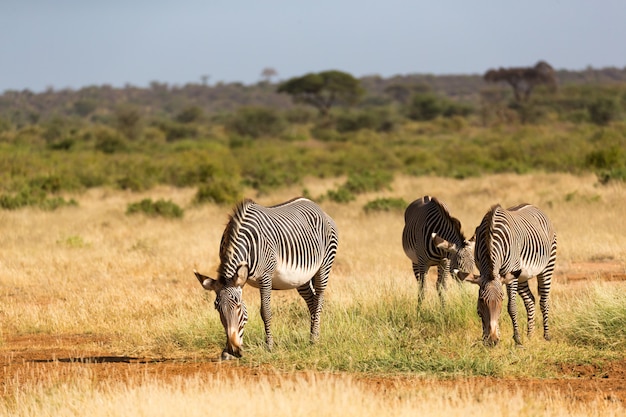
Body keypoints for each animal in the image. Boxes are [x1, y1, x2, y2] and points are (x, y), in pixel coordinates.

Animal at [194, 197, 336, 360]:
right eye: (217, 308)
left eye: (238, 306)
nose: (233, 350)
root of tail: (316, 206)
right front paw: (225, 351)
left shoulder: (265, 277)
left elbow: (265, 312)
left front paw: (269, 346)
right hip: (302, 278)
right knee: (312, 301)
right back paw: (312, 336)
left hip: (324, 266)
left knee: (318, 300)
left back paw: (315, 340)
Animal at [468, 202, 556, 344]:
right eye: (481, 302)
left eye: (501, 301)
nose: (491, 341)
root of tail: (533, 205)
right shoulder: (486, 273)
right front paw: (491, 337)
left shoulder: (510, 274)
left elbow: (512, 307)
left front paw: (517, 339)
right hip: (521, 275)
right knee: (530, 300)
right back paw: (530, 335)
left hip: (547, 265)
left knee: (544, 301)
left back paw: (546, 335)